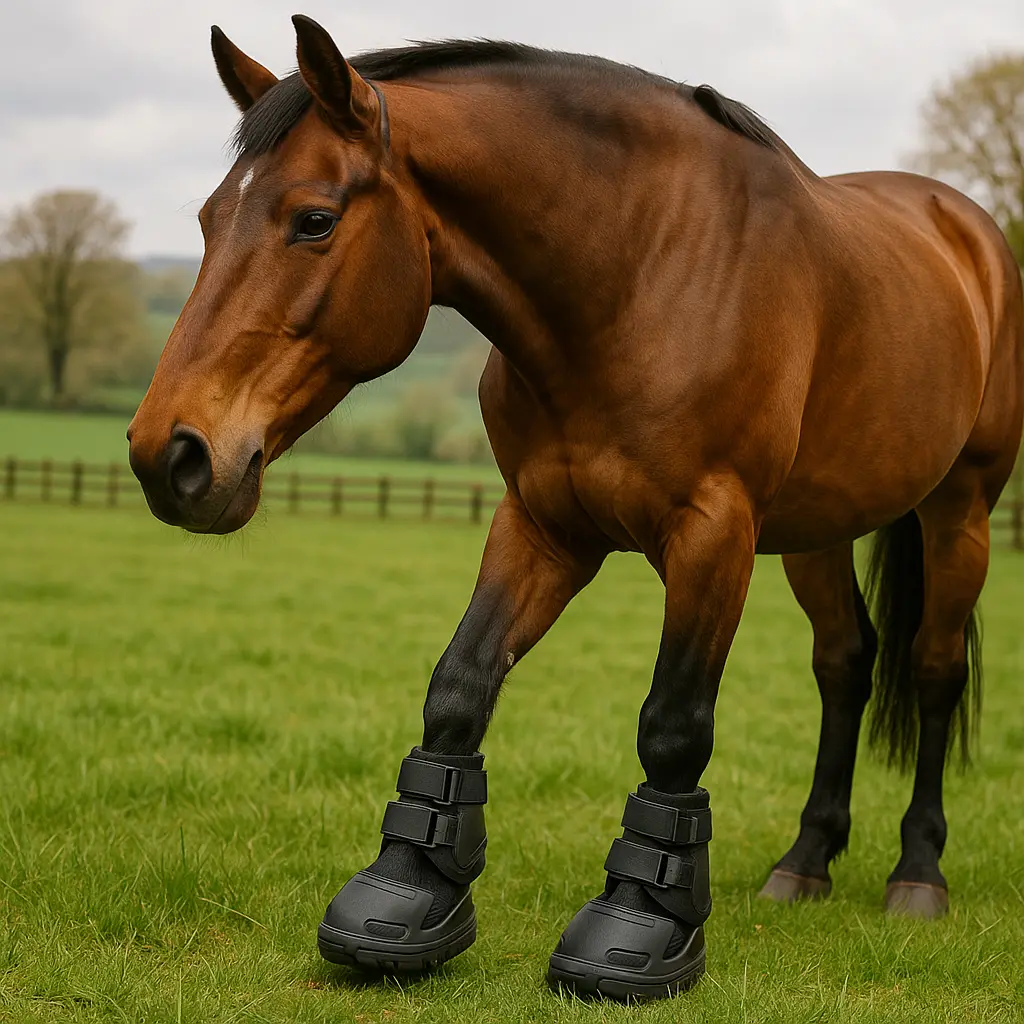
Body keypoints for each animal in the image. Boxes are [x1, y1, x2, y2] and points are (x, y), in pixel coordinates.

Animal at [127, 16, 1024, 1002]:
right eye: (208, 220)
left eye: (313, 220)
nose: (170, 454)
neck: (641, 272)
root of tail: (963, 227)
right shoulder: (542, 524)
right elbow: (460, 686)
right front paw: (409, 897)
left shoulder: (713, 534)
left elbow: (673, 725)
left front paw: (643, 929)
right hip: (818, 533)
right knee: (846, 663)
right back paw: (806, 861)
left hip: (959, 513)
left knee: (935, 669)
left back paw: (918, 873)